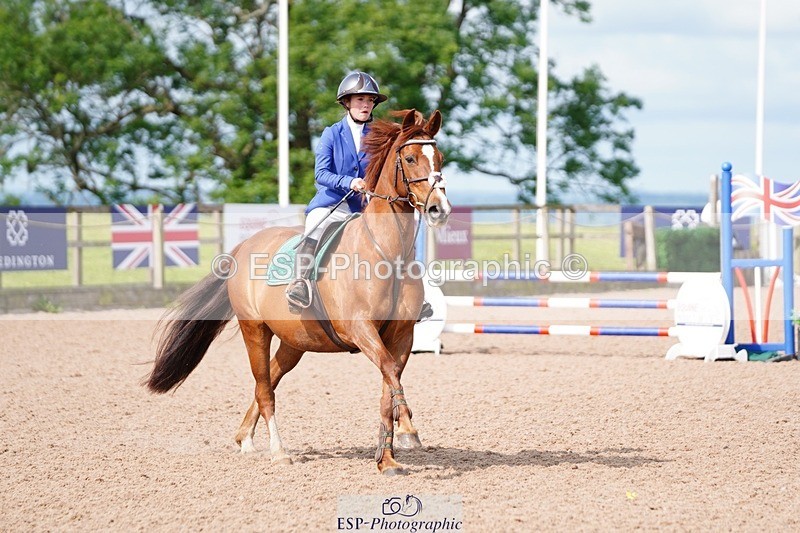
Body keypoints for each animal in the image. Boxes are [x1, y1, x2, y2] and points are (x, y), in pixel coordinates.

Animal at [145, 109, 451, 475]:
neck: (386, 253)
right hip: (255, 330)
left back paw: (244, 438)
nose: (439, 209)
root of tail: (244, 246)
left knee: (270, 379)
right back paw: (278, 452)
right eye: (409, 158)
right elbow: (390, 374)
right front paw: (406, 426)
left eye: (440, 159)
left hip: (295, 341)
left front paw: (389, 456)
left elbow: (387, 387)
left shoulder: (402, 335)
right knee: (265, 389)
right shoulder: (361, 329)